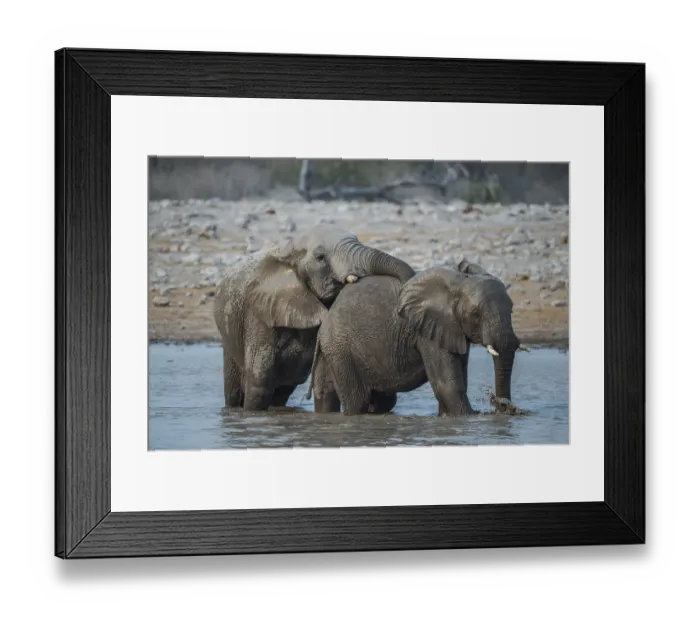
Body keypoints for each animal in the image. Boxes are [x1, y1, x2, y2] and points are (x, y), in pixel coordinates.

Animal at [213, 224, 416, 410]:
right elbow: (259, 381)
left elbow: (325, 383)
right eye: (320, 257)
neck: (288, 249)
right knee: (236, 391)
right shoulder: (259, 314)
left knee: (282, 391)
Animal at [306, 259, 529, 416]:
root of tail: (327, 319)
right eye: (475, 314)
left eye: (511, 310)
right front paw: (471, 417)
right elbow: (448, 385)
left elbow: (457, 381)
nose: (503, 407)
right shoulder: (427, 332)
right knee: (357, 400)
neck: (459, 283)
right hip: (340, 347)